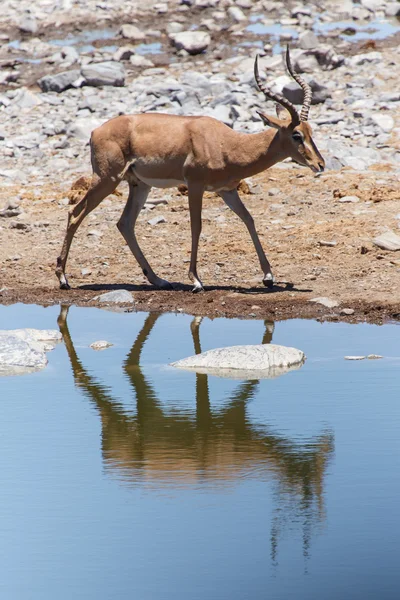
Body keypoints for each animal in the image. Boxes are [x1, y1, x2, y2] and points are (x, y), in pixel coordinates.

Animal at [55, 47, 324, 292]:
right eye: (297, 135)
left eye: (311, 131)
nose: (320, 164)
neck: (226, 144)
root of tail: (95, 131)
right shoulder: (195, 186)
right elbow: (197, 226)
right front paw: (196, 280)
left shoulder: (227, 190)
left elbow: (248, 219)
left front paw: (268, 277)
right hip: (106, 179)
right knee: (75, 213)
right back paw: (63, 279)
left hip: (139, 185)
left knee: (125, 223)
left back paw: (159, 280)